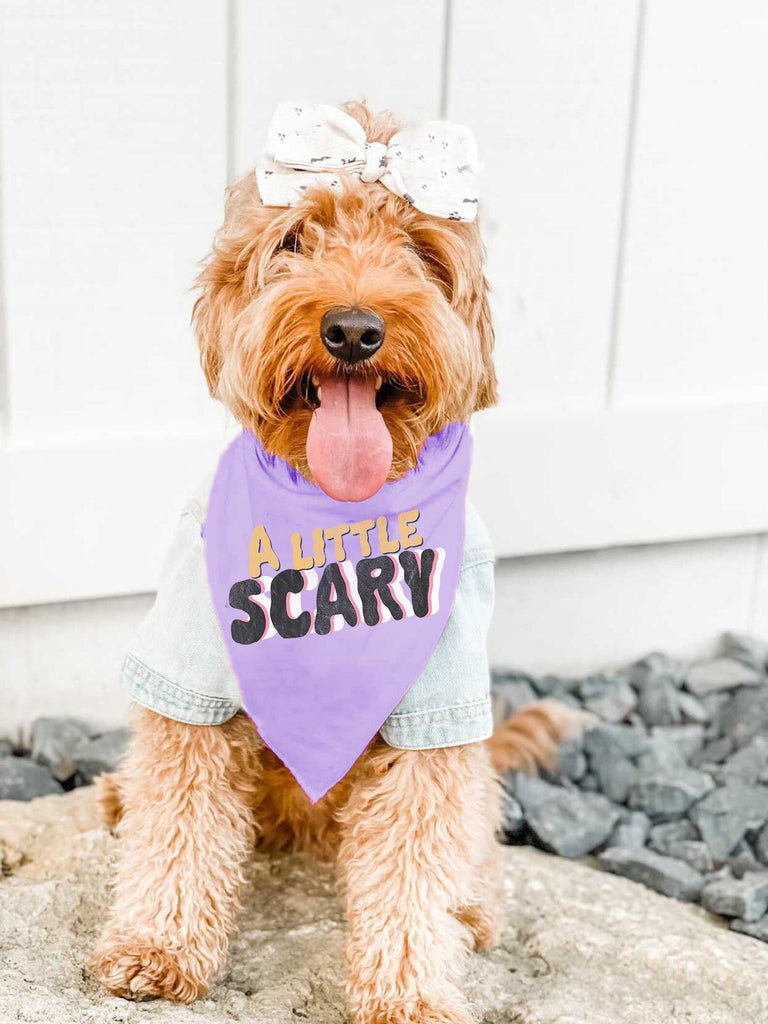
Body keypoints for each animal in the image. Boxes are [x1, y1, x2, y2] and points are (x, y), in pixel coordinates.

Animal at [90, 101, 581, 1024]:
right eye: (295, 238)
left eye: (422, 251)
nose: (354, 328)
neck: (335, 517)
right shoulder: (191, 666)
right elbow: (176, 812)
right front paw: (156, 946)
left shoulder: (437, 705)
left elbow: (416, 854)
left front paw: (410, 991)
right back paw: (114, 796)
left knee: (470, 832)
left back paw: (472, 910)